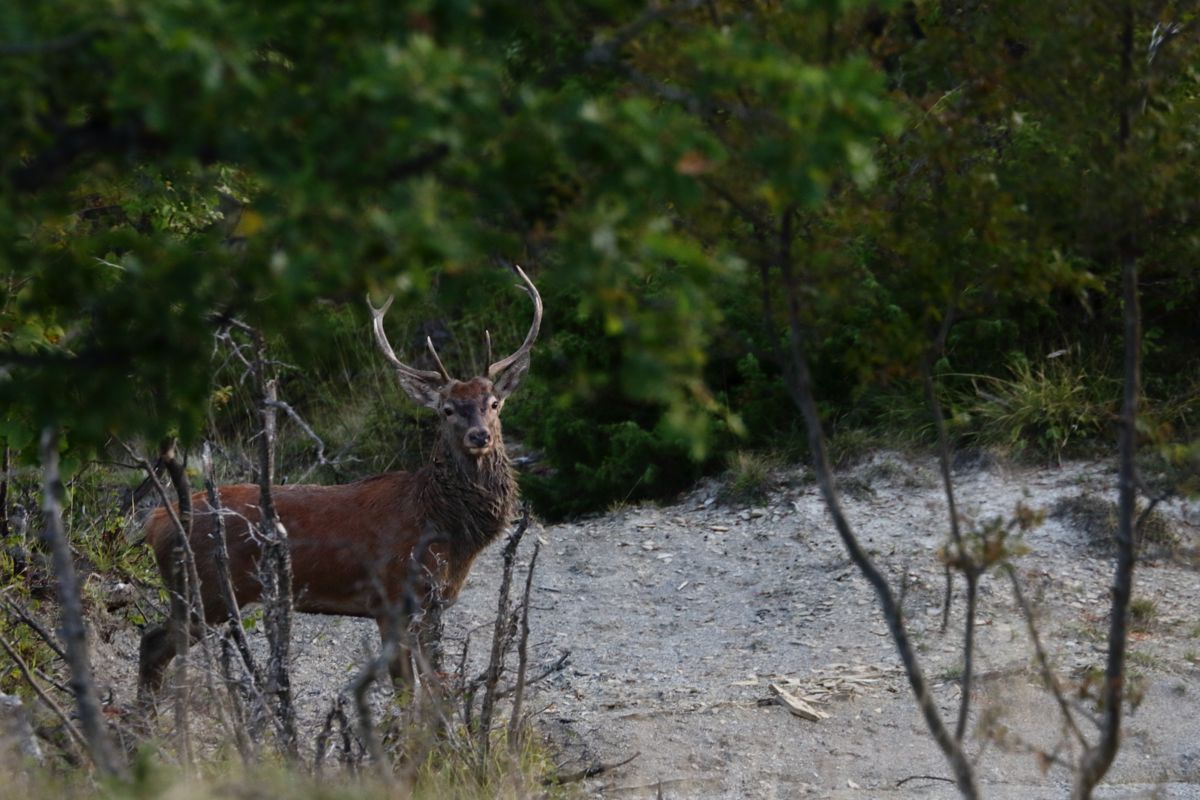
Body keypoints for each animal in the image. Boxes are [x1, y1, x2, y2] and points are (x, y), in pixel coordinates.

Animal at [138, 264, 542, 697]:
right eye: (447, 409)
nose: (479, 436)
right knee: (153, 644)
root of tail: (155, 523)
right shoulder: (391, 598)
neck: (444, 526)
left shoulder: (435, 602)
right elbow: (406, 690)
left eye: (494, 404)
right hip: (205, 591)